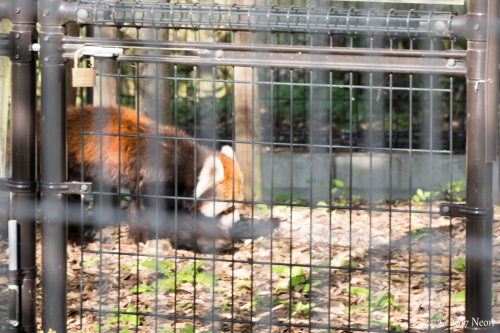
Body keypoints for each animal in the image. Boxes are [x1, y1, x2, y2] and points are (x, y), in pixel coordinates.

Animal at [64, 105, 244, 250]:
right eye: (229, 209)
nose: (236, 222)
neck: (188, 163)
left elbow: (138, 207)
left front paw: (138, 240)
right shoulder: (160, 176)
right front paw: (213, 239)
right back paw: (75, 238)